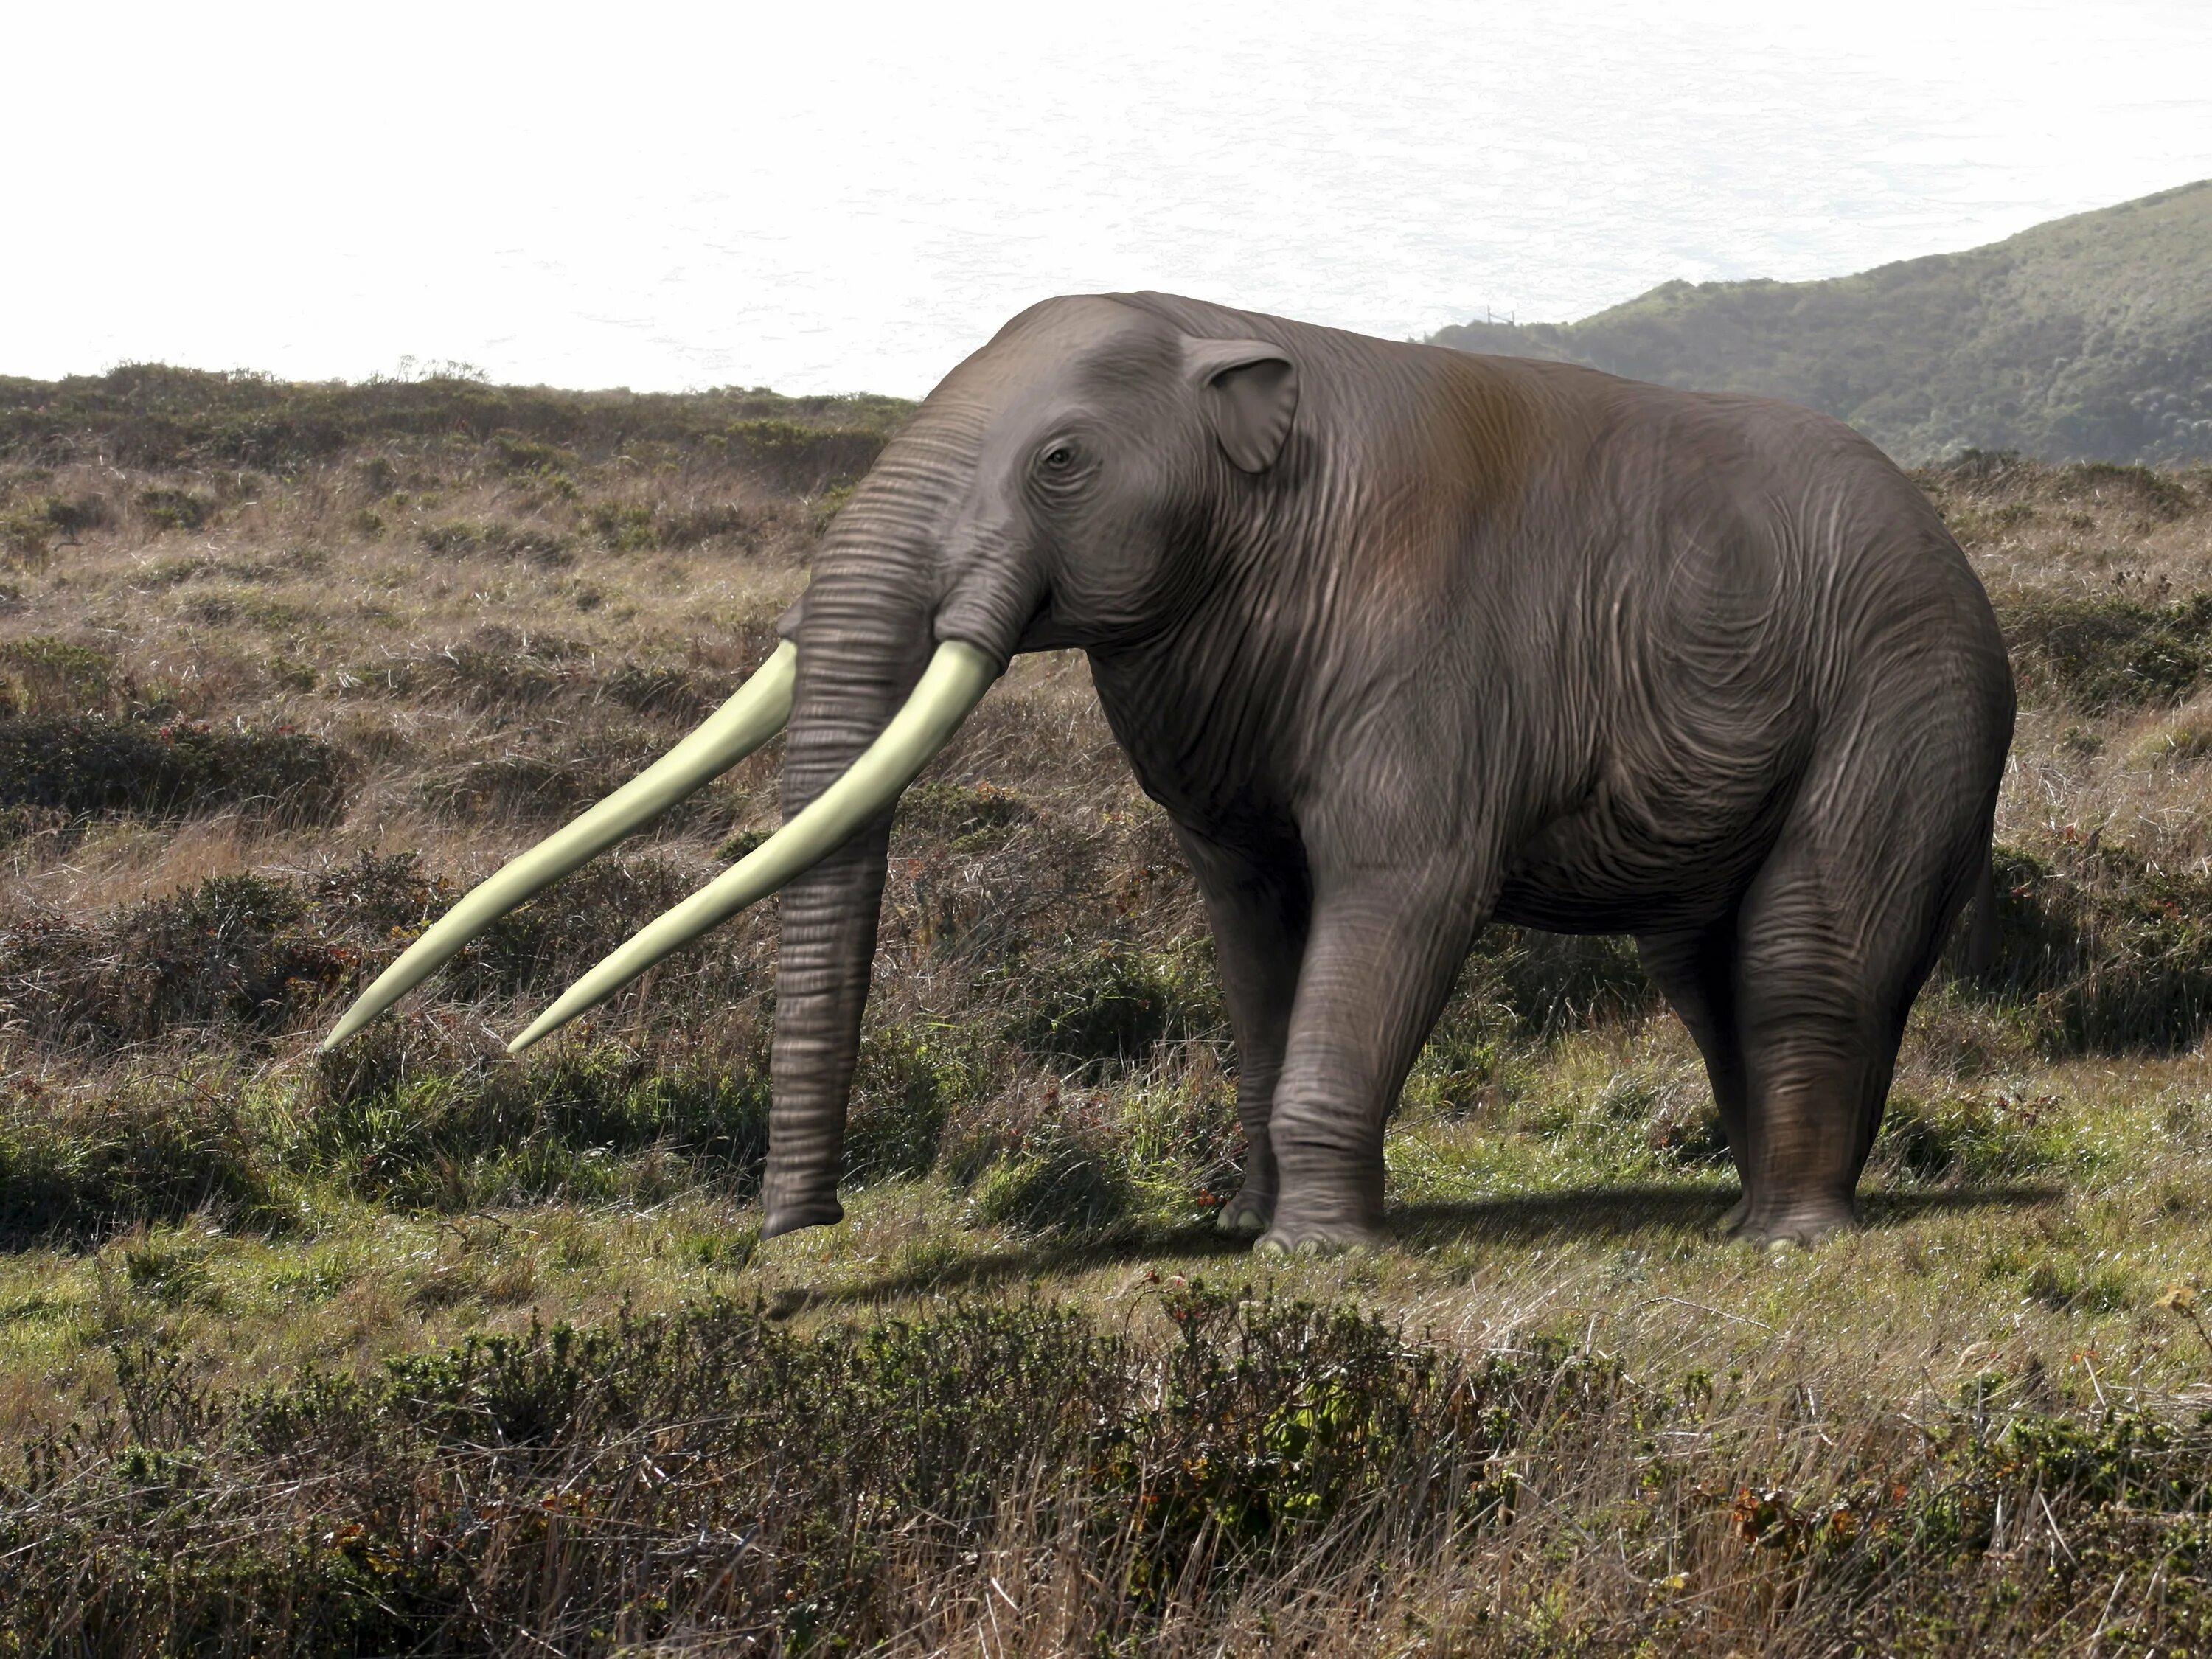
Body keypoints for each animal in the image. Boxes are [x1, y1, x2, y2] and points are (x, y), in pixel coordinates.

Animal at [323, 296, 2008, 1256]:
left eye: (1061, 462)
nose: (803, 1235)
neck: (1239, 339)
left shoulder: (1427, 665)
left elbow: (1401, 890)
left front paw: (1318, 1260)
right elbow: (1253, 920)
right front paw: (1254, 1228)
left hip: (1899, 706)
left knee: (1807, 957)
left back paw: (1790, 1243)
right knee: (1706, 969)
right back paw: (1753, 1211)